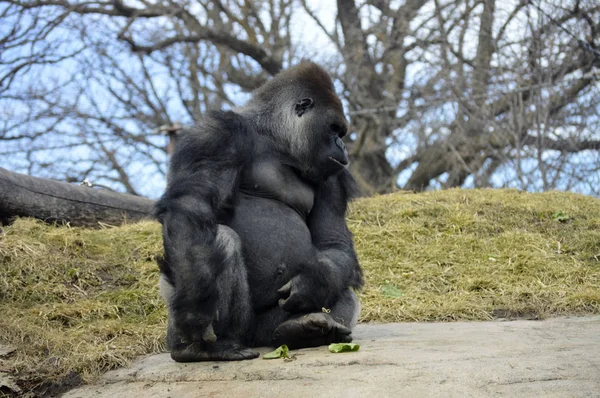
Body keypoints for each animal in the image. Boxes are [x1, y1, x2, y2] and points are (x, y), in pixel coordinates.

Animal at [155, 61, 364, 360]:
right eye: (334, 129)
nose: (342, 145)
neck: (274, 137)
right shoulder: (217, 133)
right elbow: (191, 204)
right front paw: (196, 309)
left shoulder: (332, 176)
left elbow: (333, 244)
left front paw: (314, 283)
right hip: (229, 328)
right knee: (220, 241)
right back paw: (205, 347)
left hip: (265, 329)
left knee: (344, 294)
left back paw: (301, 330)